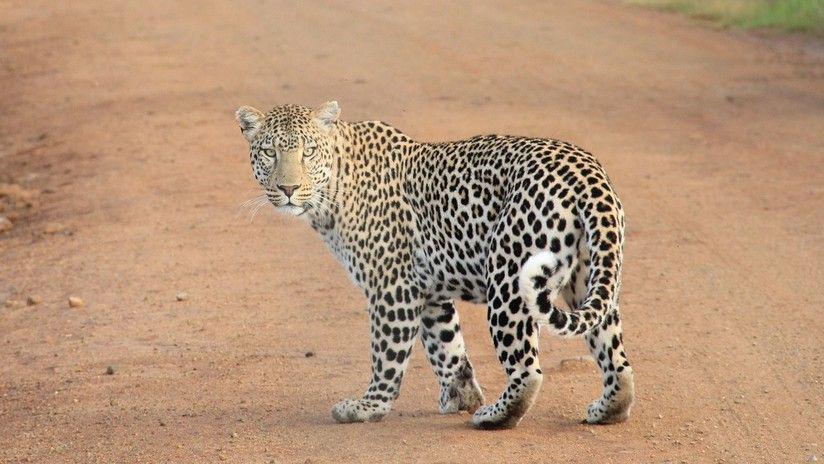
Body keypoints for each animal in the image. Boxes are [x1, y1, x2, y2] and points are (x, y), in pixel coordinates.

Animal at [235, 101, 635, 429]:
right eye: (269, 152)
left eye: (308, 152)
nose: (288, 189)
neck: (333, 189)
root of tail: (587, 173)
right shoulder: (428, 291)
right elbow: (447, 347)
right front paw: (461, 395)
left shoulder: (392, 287)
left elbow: (387, 354)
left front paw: (368, 407)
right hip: (589, 278)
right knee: (616, 357)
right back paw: (607, 409)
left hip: (509, 278)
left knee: (527, 370)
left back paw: (494, 416)